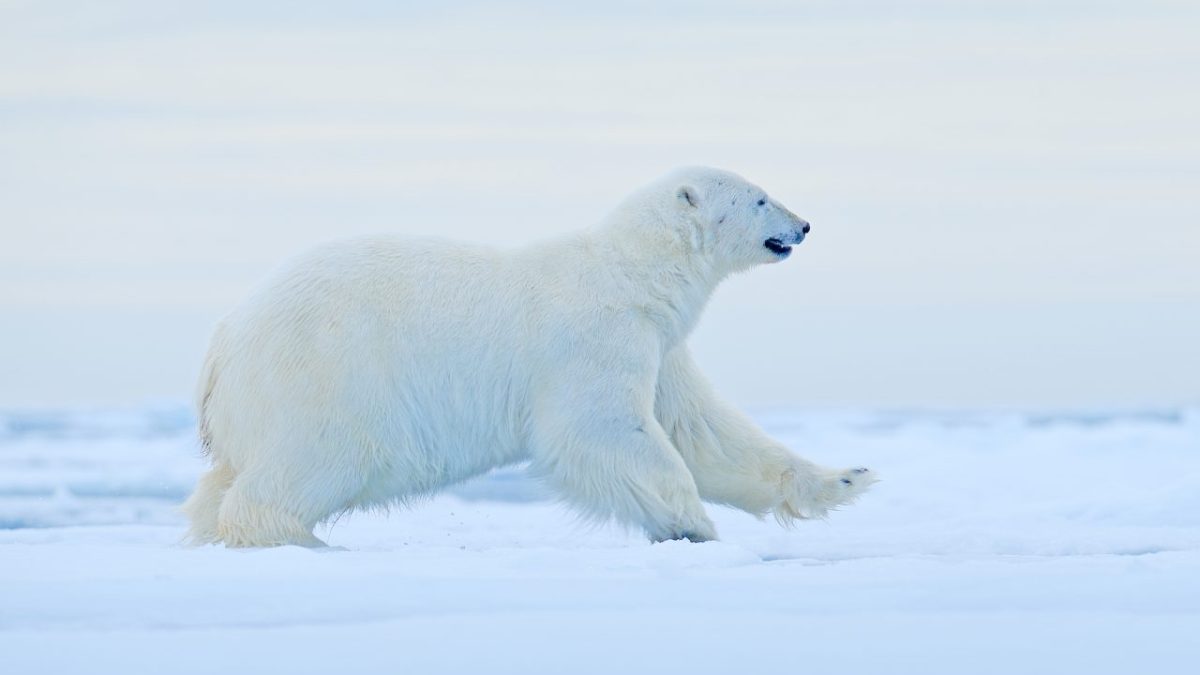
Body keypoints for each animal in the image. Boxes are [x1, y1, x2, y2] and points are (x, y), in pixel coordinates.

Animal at [182, 165, 878, 542]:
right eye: (759, 198)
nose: (804, 224)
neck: (632, 274)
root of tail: (224, 339)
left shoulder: (657, 345)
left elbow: (700, 430)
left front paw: (847, 478)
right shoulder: (595, 339)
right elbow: (604, 428)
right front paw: (693, 523)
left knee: (222, 481)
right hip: (328, 373)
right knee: (312, 461)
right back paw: (302, 540)